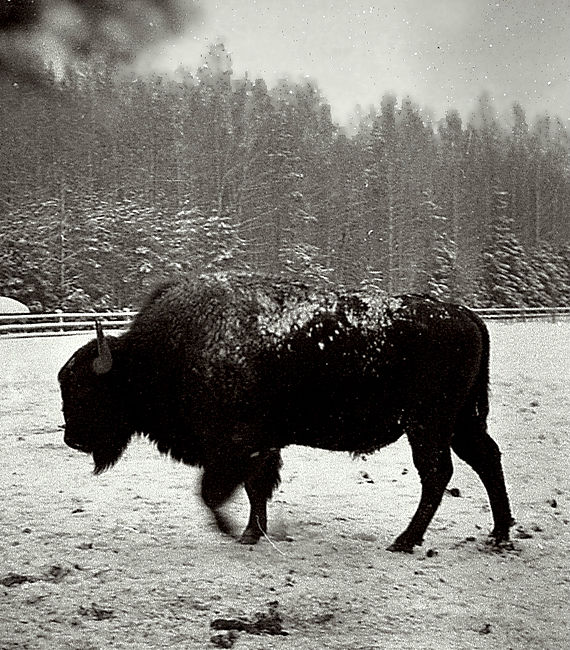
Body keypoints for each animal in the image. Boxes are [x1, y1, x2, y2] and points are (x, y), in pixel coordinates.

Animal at [59, 273, 513, 552]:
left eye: (86, 388)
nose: (72, 438)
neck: (154, 357)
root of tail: (466, 316)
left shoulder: (236, 446)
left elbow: (213, 492)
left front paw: (233, 531)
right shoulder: (262, 446)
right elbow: (255, 489)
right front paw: (250, 533)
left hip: (428, 424)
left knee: (437, 474)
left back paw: (404, 540)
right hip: (460, 422)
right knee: (486, 459)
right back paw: (499, 533)